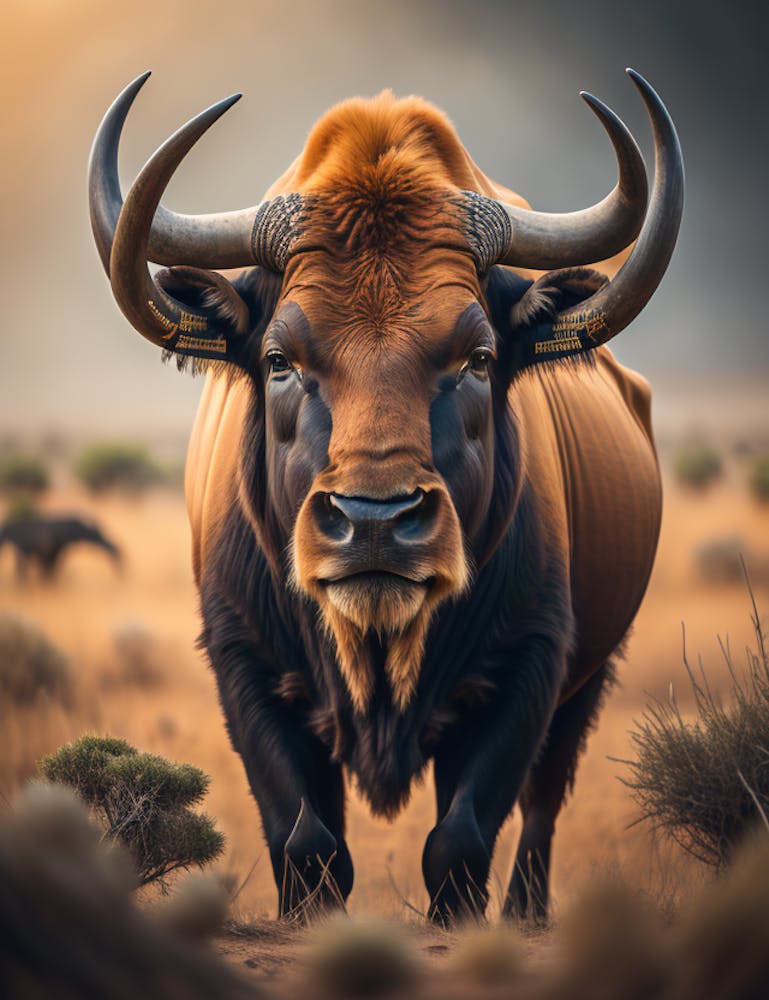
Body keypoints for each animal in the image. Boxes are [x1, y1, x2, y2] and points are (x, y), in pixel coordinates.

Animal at [89, 69, 682, 923]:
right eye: (279, 359)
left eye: (477, 358)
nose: (374, 523)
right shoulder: (244, 665)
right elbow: (307, 841)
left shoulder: (530, 666)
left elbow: (460, 841)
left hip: (587, 683)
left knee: (542, 806)